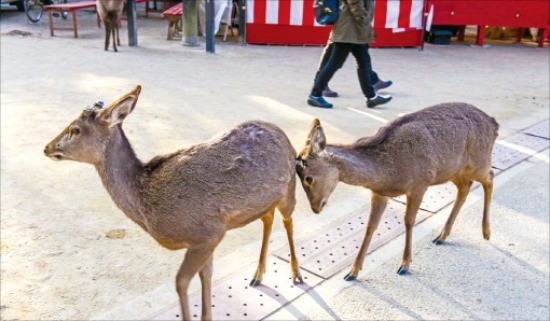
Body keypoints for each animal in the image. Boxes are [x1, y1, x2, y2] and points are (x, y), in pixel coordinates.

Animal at [43, 85, 304, 320]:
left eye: (75, 129)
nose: (47, 147)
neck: (147, 204)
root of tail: (286, 137)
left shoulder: (208, 232)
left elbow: (181, 281)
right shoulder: (208, 239)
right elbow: (206, 276)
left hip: (289, 188)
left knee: (288, 220)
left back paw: (296, 273)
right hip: (264, 201)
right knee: (268, 218)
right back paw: (258, 275)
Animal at [298, 102, 500, 280]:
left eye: (308, 178)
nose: (315, 208)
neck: (386, 174)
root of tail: (494, 124)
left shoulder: (420, 183)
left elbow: (409, 221)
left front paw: (404, 265)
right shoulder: (379, 193)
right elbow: (370, 226)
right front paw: (352, 272)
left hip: (477, 161)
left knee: (490, 176)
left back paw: (486, 232)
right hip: (451, 170)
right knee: (465, 187)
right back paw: (442, 236)